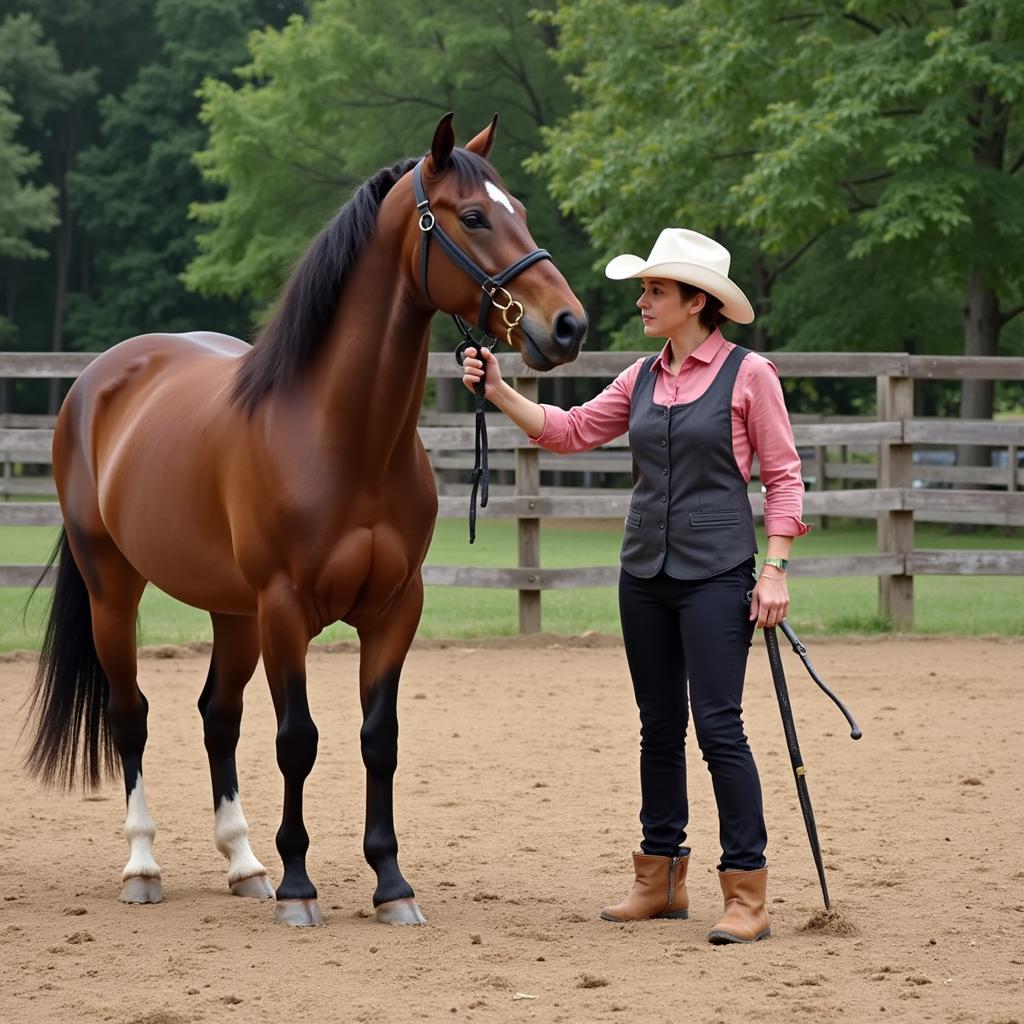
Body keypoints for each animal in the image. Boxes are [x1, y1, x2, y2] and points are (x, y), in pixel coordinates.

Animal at [24, 114, 589, 929]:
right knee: (131, 714)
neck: (342, 437)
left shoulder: (395, 608)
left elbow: (378, 740)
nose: (569, 326)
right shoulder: (285, 608)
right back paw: (144, 867)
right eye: (475, 217)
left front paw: (391, 884)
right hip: (115, 588)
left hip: (232, 611)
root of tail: (97, 381)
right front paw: (300, 887)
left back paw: (244, 864)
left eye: (520, 211)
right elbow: (298, 740)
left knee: (217, 716)